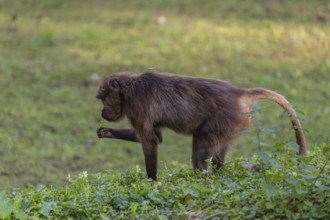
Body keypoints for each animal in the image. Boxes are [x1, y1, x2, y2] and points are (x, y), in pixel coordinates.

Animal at [95, 72, 306, 180]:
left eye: (103, 99)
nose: (102, 112)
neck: (129, 88)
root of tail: (238, 93)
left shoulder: (136, 104)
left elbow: (151, 141)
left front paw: (152, 182)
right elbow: (155, 137)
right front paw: (106, 132)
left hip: (225, 118)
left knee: (200, 146)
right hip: (233, 124)